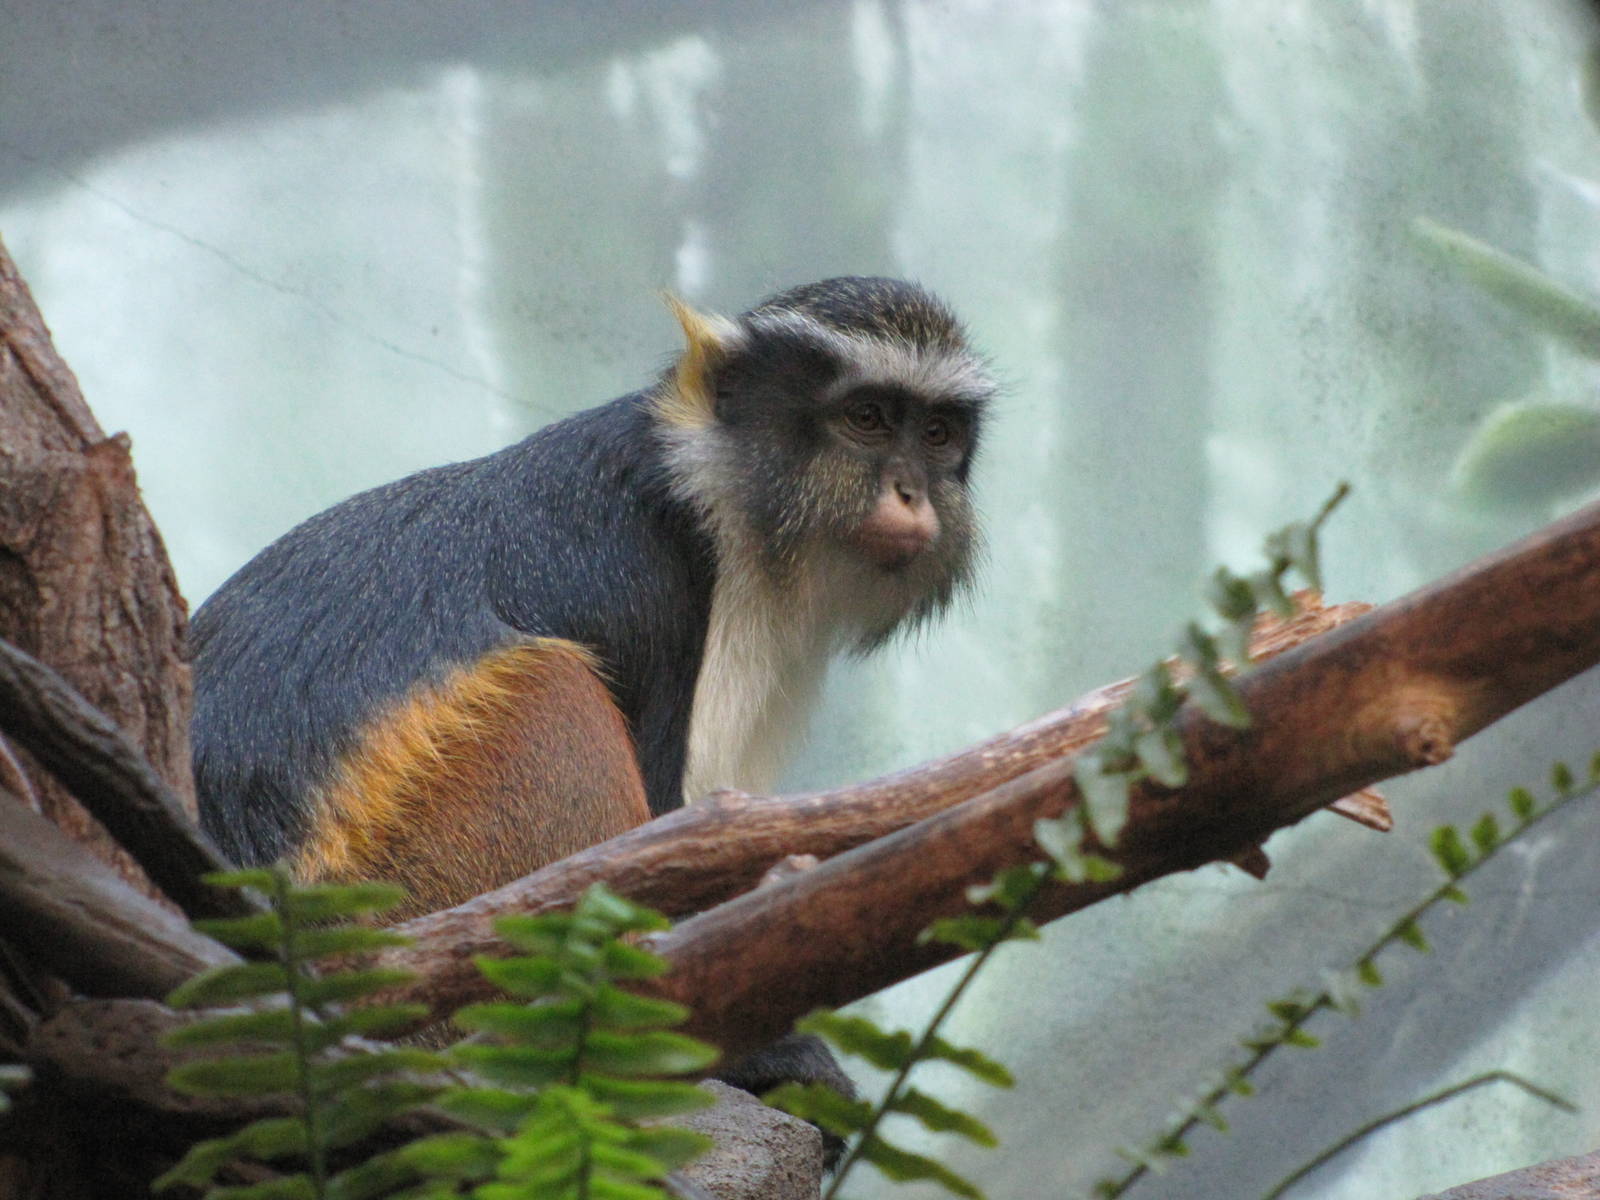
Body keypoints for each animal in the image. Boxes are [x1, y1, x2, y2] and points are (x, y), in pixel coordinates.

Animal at [189, 274, 992, 1110]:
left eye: (937, 434)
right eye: (867, 418)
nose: (911, 492)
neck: (717, 487)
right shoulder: (645, 567)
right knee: (554, 684)